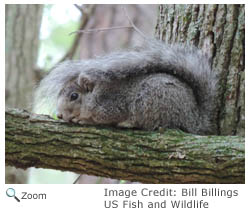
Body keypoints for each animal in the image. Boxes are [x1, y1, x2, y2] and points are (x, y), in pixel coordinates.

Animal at [32, 40, 217, 135]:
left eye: (74, 96)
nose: (59, 115)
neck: (96, 95)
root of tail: (195, 118)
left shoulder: (112, 106)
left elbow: (103, 119)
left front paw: (83, 120)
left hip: (151, 103)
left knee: (148, 124)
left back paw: (128, 123)